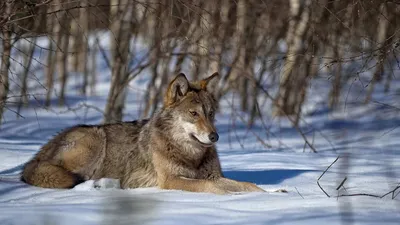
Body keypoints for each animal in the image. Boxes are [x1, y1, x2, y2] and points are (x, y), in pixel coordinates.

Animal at [21, 73, 266, 194]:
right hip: (95, 140)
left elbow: (247, 185)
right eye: (194, 114)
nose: (214, 137)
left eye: (211, 113)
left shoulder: (213, 175)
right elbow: (212, 188)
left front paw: (264, 195)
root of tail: (37, 156)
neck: (191, 155)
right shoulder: (171, 180)